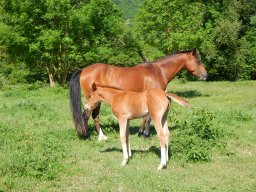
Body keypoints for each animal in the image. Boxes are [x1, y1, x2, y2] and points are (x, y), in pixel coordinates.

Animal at [69, 49, 207, 140]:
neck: (158, 71)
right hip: (93, 100)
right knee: (88, 115)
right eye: (197, 60)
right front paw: (146, 135)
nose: (205, 75)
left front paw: (141, 132)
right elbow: (148, 117)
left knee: (93, 116)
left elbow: (144, 116)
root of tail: (83, 70)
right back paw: (90, 136)